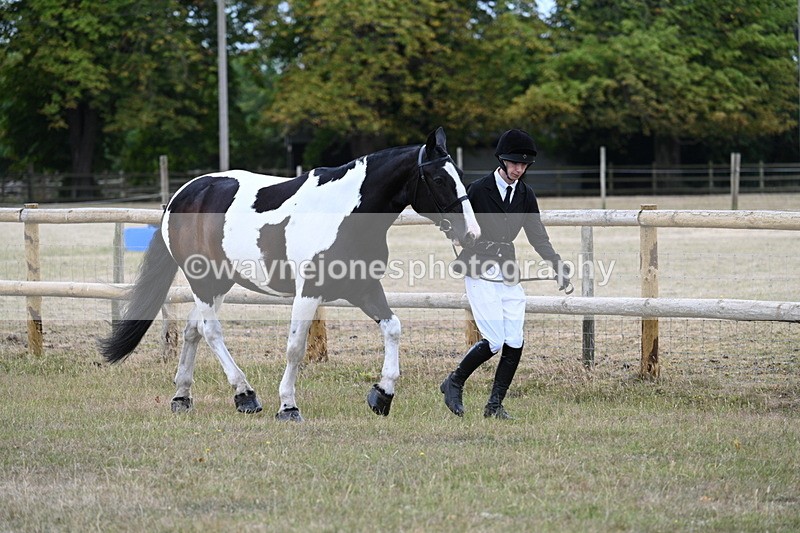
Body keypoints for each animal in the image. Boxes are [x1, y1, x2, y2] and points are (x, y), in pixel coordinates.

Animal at [99, 127, 480, 421]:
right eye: (437, 178)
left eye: (461, 177)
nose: (472, 234)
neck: (344, 214)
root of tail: (182, 195)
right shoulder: (309, 291)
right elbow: (295, 348)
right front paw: (288, 406)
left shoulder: (363, 287)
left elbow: (393, 327)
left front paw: (382, 395)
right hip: (203, 280)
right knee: (210, 330)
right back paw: (245, 394)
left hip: (219, 282)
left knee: (195, 329)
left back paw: (182, 397)